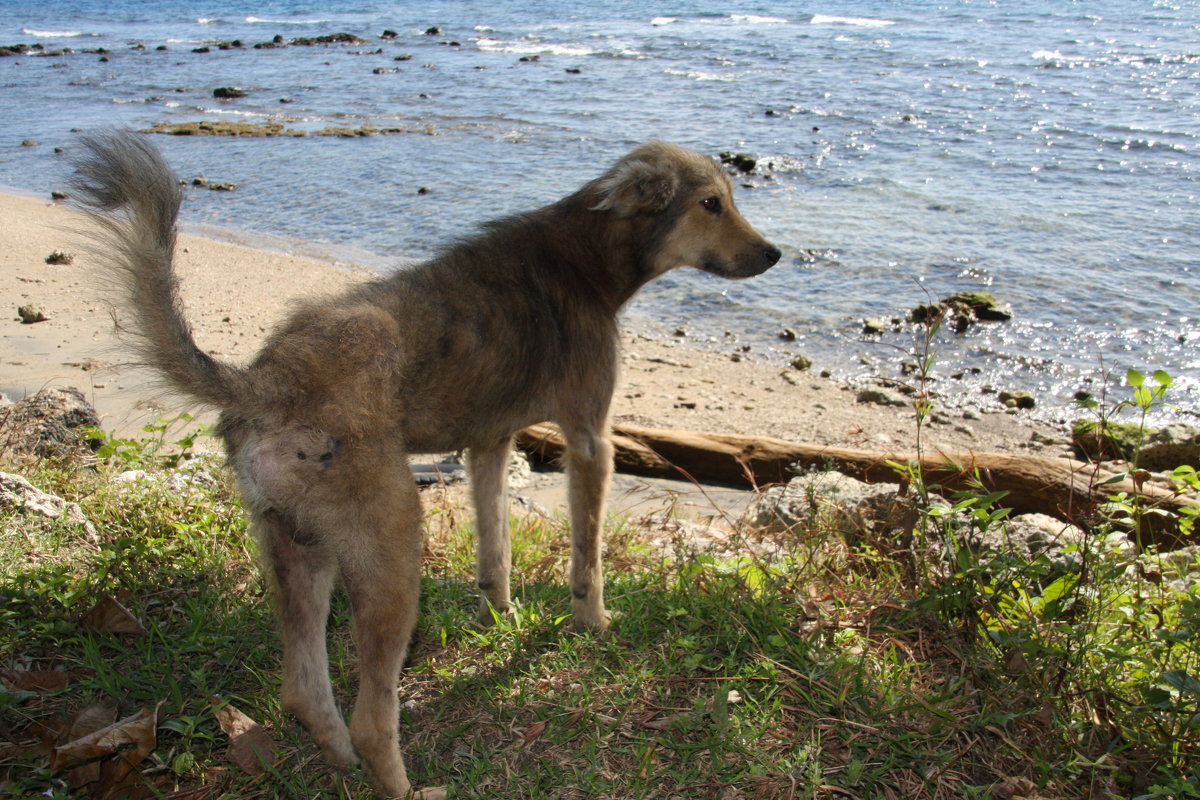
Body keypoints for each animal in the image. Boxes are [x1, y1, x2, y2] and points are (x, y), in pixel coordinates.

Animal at [77, 134, 787, 796]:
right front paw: (594, 624)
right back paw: (405, 785)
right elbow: (587, 558)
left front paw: (501, 615)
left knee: (303, 688)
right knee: (372, 717)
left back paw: (340, 763)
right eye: (711, 203)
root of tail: (265, 382)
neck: (583, 256)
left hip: (296, 546)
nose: (775, 255)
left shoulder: (490, 444)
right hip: (392, 544)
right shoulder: (591, 441)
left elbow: (496, 549)